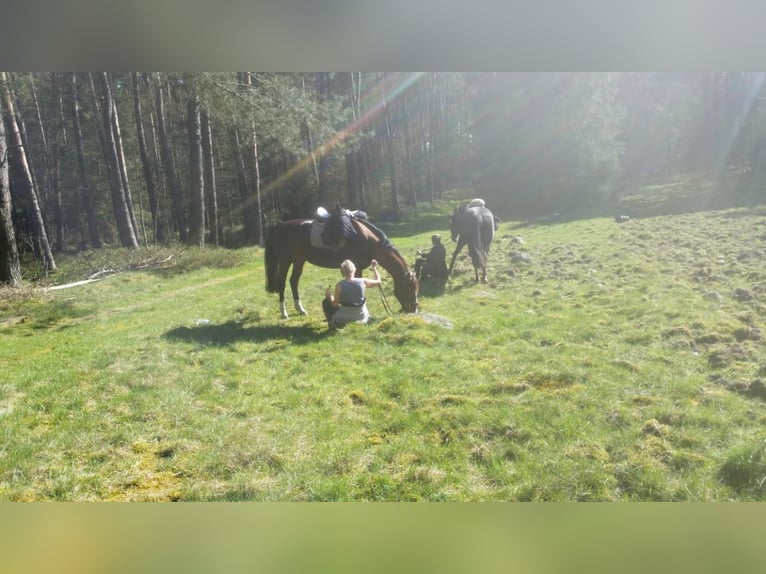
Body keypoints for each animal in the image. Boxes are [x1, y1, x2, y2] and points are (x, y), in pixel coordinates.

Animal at [266, 216, 420, 320]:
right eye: (409, 288)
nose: (414, 309)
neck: (367, 239)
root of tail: (280, 225)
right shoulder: (357, 268)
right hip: (285, 261)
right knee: (282, 284)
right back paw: (284, 313)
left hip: (299, 260)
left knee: (294, 281)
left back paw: (300, 309)